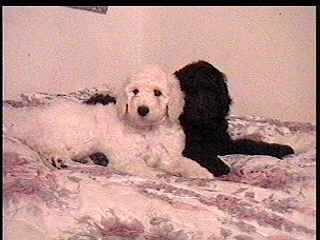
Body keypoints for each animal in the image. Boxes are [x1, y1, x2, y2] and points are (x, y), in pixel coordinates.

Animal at [3, 65, 214, 178]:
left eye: (157, 93)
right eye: (135, 91)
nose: (142, 109)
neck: (148, 130)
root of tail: (31, 116)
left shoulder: (169, 155)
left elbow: (185, 162)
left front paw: (202, 173)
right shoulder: (125, 156)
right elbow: (141, 166)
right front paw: (156, 175)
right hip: (72, 135)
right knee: (45, 146)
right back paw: (59, 159)